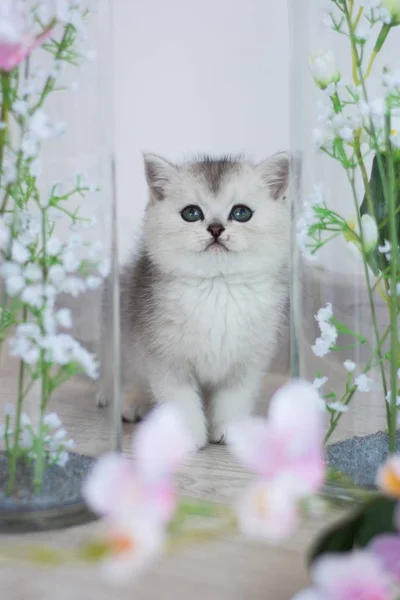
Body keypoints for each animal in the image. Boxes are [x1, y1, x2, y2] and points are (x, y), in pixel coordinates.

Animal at [98, 152, 290, 448]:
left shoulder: (246, 362)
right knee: (122, 371)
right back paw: (126, 400)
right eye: (192, 213)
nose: (216, 228)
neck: (217, 287)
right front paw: (188, 435)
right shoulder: (166, 360)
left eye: (241, 213)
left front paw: (230, 429)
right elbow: (180, 400)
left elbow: (233, 398)